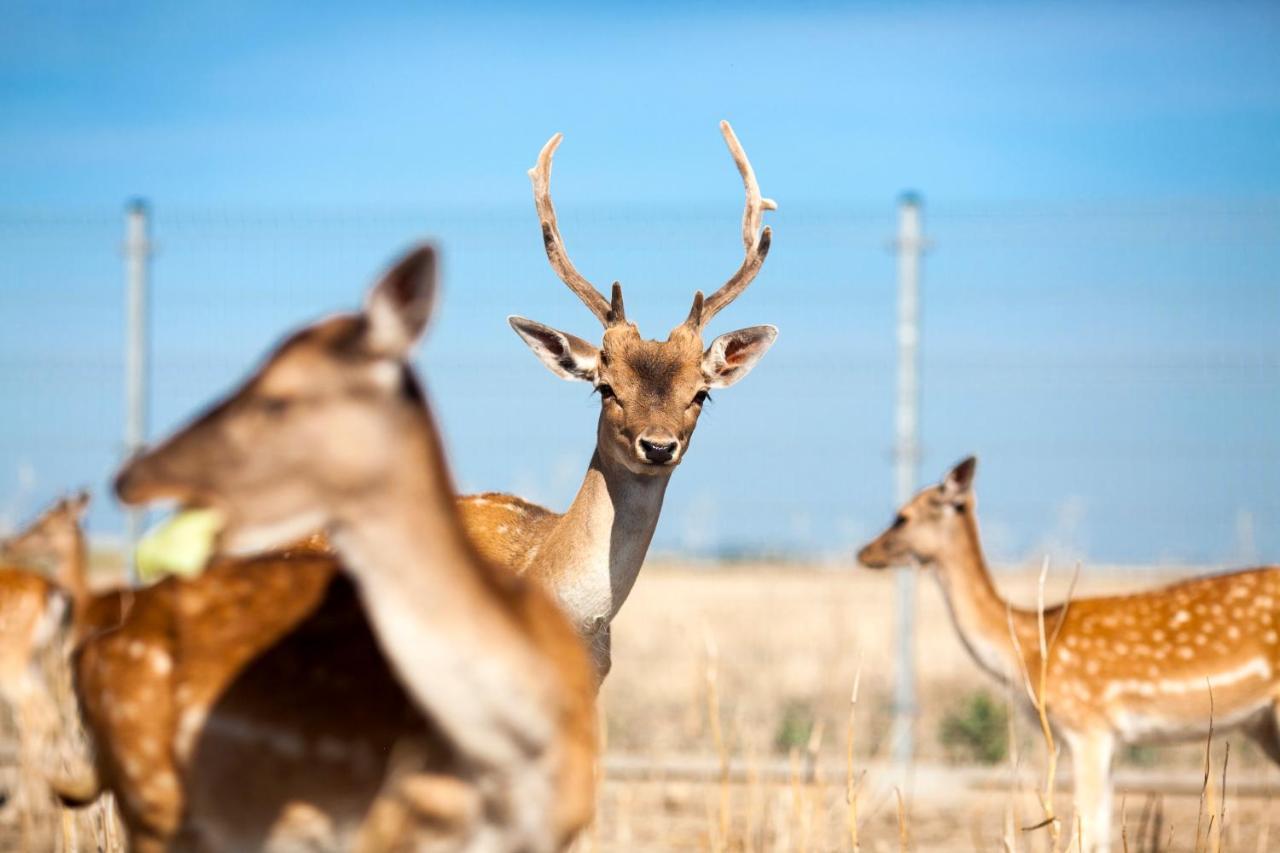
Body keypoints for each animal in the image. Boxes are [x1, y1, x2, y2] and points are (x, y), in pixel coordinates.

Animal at [855, 458, 1280, 850]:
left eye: (902, 516)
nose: (863, 553)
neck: (1028, 649)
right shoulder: (1105, 738)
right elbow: (1099, 832)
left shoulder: (1088, 725)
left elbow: (1084, 832)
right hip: (1262, 725)